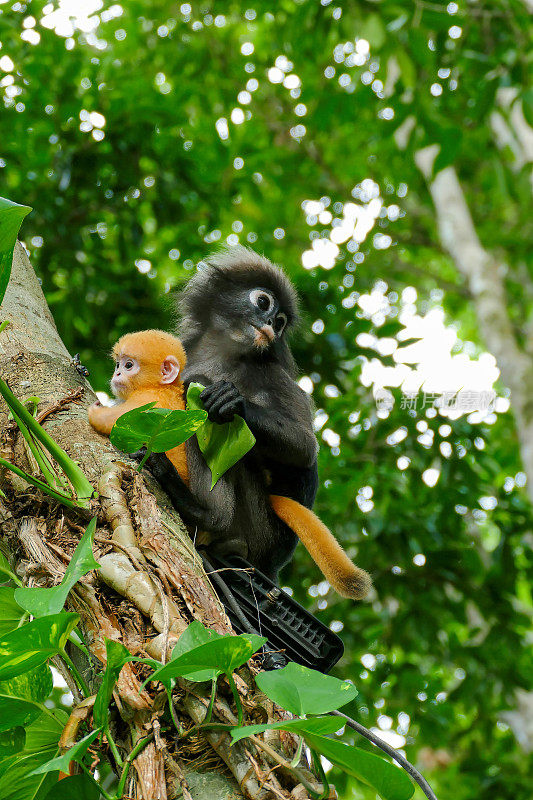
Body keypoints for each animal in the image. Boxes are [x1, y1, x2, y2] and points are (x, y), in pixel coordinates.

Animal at [137, 250, 370, 600]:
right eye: (263, 302)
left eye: (281, 321)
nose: (272, 324)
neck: (222, 355)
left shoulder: (271, 373)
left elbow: (305, 448)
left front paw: (230, 400)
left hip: (259, 528)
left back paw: (201, 511)